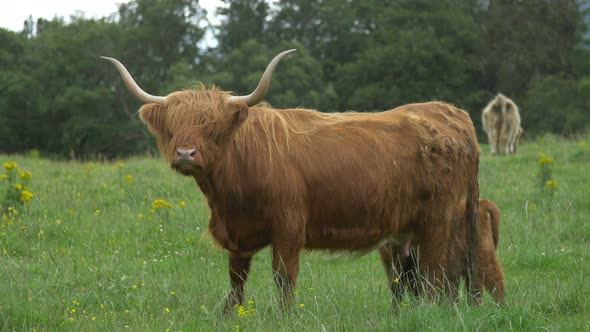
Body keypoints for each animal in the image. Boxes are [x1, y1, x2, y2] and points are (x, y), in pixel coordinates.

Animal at [102, 50, 484, 312]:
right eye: (174, 126)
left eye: (212, 126)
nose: (185, 153)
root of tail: (450, 113)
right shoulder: (238, 234)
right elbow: (236, 279)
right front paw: (231, 314)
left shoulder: (288, 225)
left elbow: (283, 276)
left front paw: (284, 316)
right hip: (414, 229)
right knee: (427, 274)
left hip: (439, 220)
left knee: (437, 271)